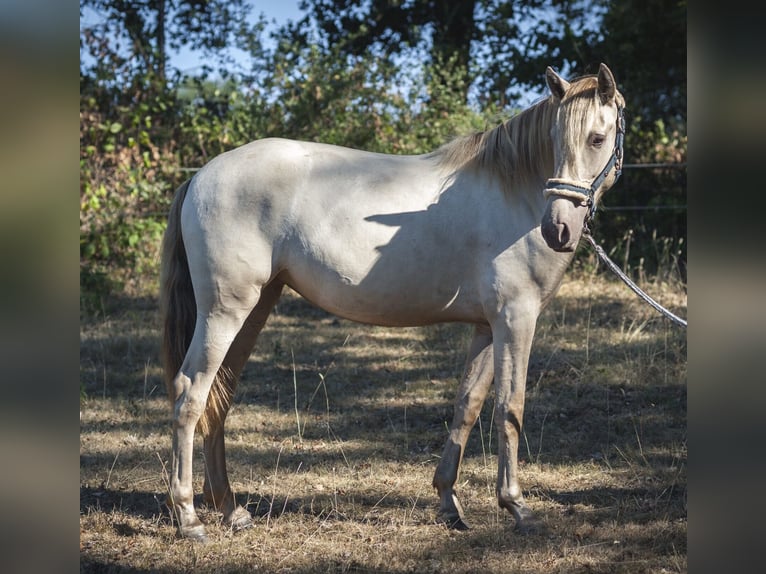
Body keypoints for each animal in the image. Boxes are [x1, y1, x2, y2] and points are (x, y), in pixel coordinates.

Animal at [160, 63, 626, 541]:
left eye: (597, 138)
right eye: (558, 138)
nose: (558, 229)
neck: (514, 192)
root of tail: (200, 176)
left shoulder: (487, 325)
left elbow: (468, 406)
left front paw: (449, 505)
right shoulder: (516, 318)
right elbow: (509, 408)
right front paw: (517, 506)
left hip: (253, 309)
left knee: (219, 397)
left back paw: (230, 508)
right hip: (224, 312)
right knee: (190, 392)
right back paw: (189, 517)